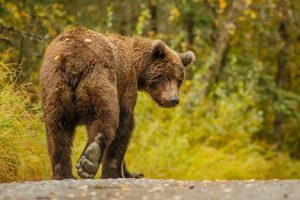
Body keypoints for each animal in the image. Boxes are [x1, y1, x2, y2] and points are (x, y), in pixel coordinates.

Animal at [39, 26, 195, 180]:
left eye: (179, 79)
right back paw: (89, 160)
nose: (173, 99)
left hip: (55, 84)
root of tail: (73, 60)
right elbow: (125, 123)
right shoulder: (126, 84)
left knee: (57, 128)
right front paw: (118, 173)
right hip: (99, 77)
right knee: (105, 116)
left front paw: (132, 173)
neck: (136, 66)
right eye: (165, 76)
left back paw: (64, 173)